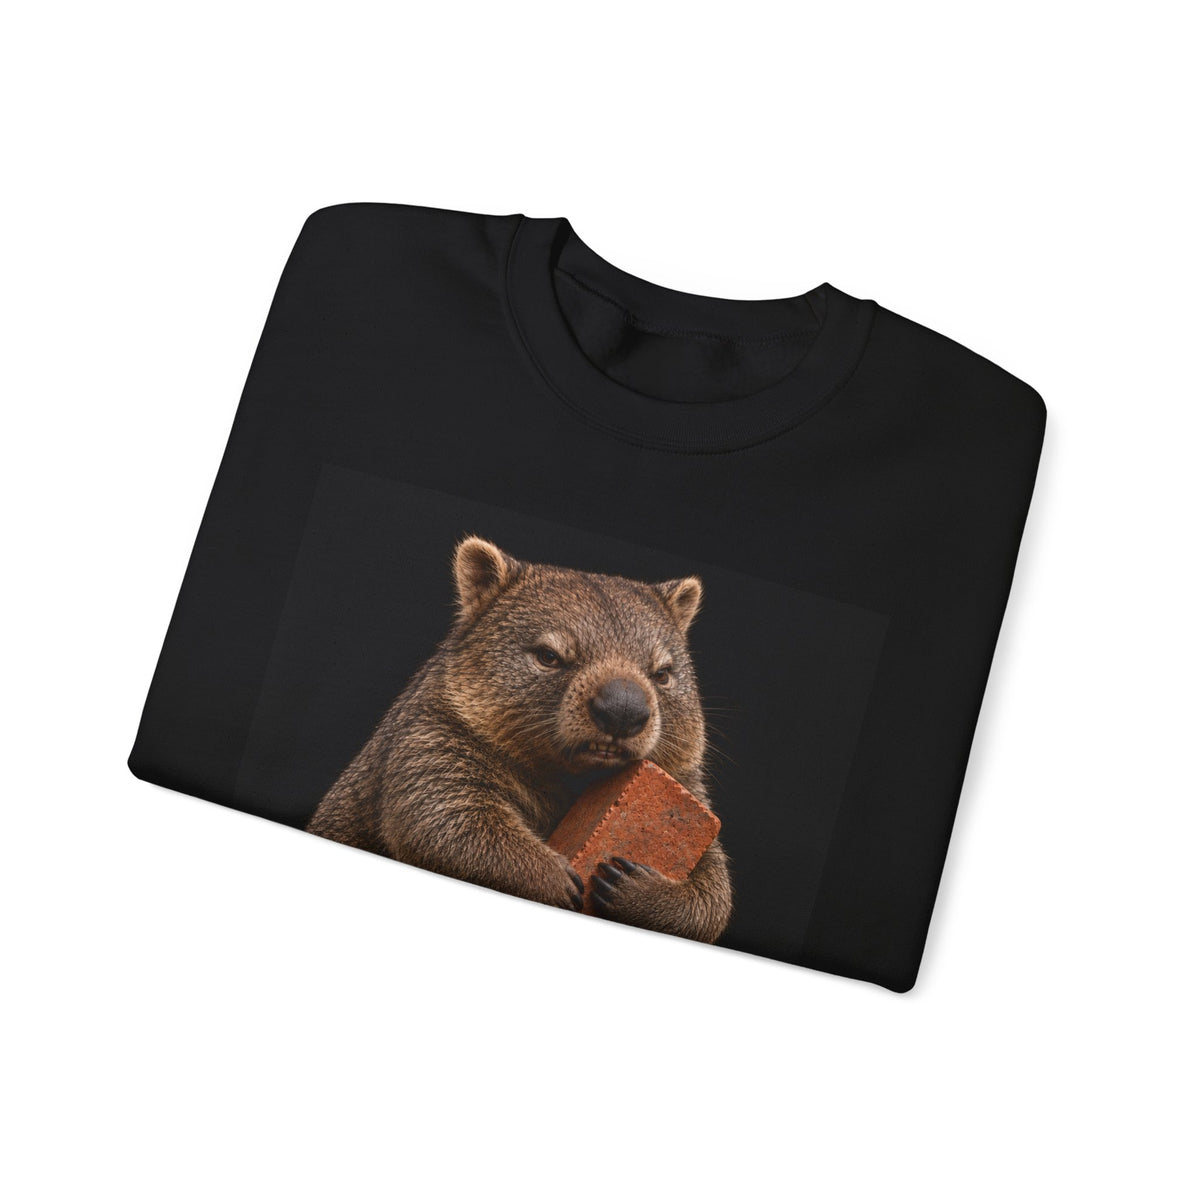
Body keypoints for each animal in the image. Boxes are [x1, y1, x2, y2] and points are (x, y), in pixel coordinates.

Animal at [306, 536, 733, 945]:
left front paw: (630, 884)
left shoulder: (684, 777)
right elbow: (442, 819)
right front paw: (558, 879)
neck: (563, 774)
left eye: (662, 674)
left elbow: (716, 885)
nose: (623, 710)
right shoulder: (432, 734)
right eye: (548, 656)